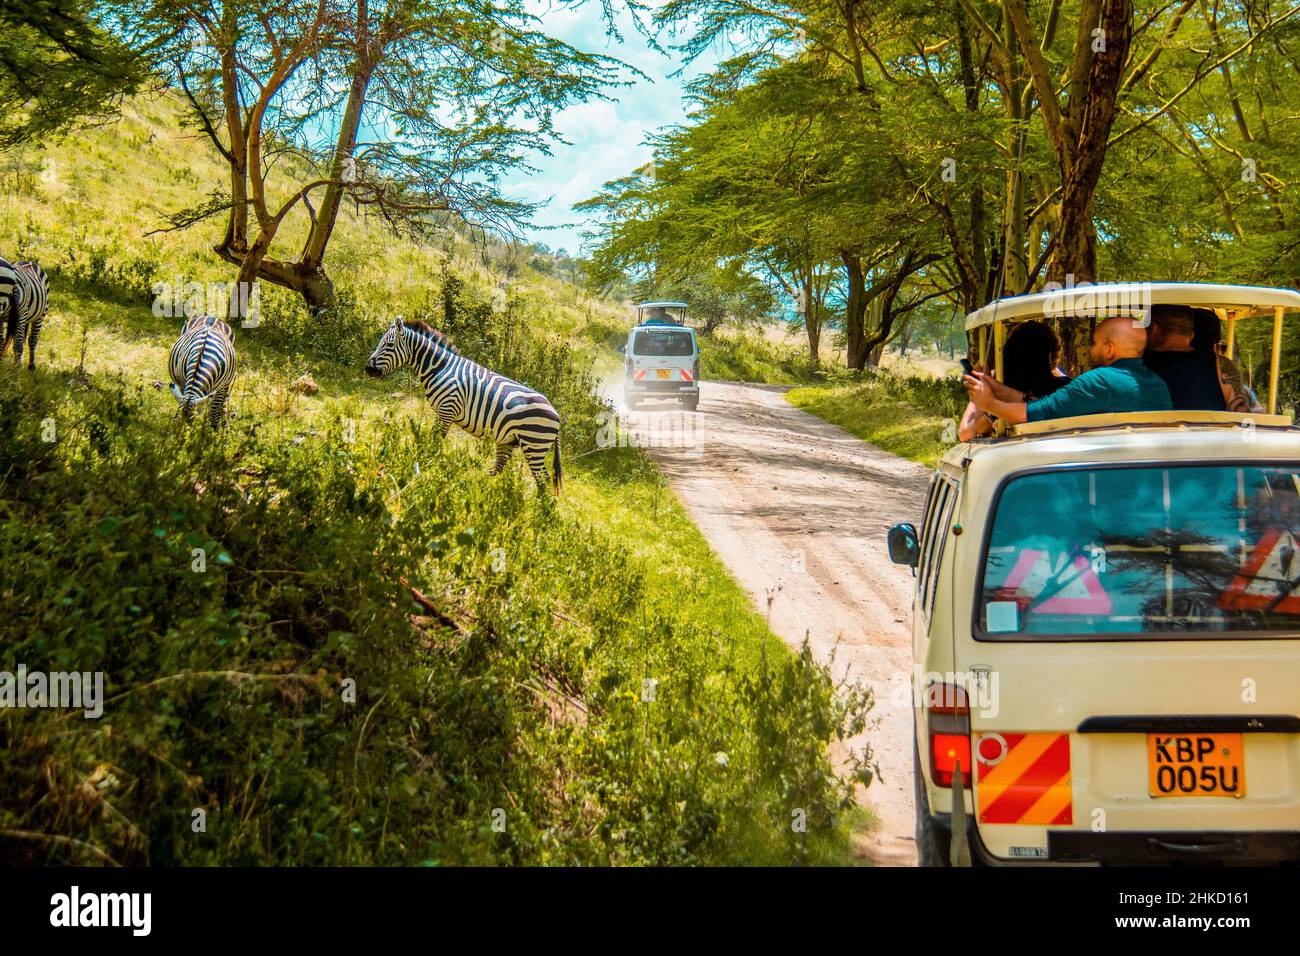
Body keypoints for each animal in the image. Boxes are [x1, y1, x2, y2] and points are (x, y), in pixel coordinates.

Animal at [364, 317, 562, 493]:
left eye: (389, 345)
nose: (368, 369)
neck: (440, 368)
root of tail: (557, 415)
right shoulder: (446, 413)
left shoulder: (447, 410)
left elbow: (434, 440)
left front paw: (425, 464)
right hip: (509, 440)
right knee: (499, 468)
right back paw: (483, 490)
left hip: (534, 444)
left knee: (543, 480)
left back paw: (539, 510)